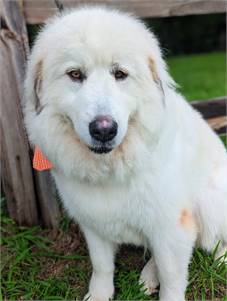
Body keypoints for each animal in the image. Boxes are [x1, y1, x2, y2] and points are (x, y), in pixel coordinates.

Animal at [23, 6, 227, 300]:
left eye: (119, 74)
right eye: (75, 74)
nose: (104, 130)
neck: (111, 169)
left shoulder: (170, 226)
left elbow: (172, 277)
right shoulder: (93, 222)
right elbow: (101, 265)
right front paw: (99, 294)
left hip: (209, 203)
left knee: (218, 241)